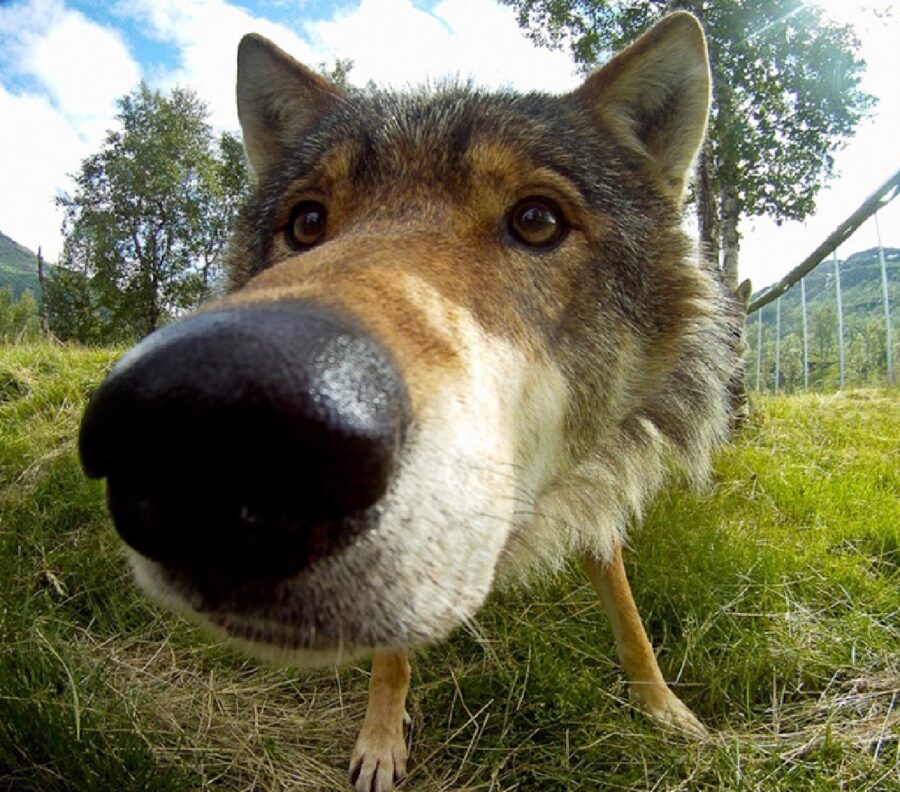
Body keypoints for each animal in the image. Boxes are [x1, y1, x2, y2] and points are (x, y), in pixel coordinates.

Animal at [79, 13, 740, 792]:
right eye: (306, 223)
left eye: (538, 220)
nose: (210, 416)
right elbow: (392, 658)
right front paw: (381, 738)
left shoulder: (595, 484)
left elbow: (627, 610)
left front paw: (664, 710)